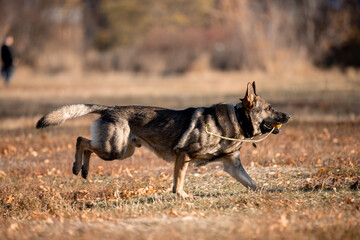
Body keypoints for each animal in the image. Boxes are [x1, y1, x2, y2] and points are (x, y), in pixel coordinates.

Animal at [36, 81, 290, 198]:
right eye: (270, 108)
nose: (288, 116)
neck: (237, 119)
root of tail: (109, 108)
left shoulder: (232, 166)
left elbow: (252, 183)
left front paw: (267, 192)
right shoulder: (183, 155)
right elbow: (179, 181)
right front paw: (181, 196)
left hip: (123, 151)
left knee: (86, 144)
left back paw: (84, 170)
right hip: (114, 150)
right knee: (81, 140)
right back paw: (77, 167)